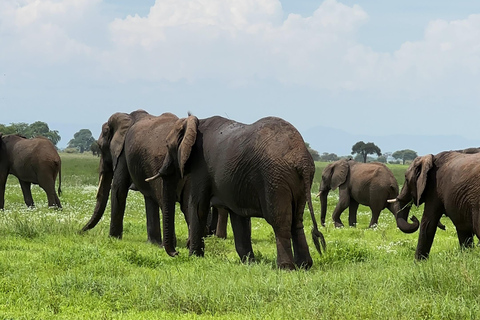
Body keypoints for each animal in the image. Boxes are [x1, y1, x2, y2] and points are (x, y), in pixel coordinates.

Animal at [81, 109, 181, 245]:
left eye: (100, 147)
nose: (79, 231)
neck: (126, 117)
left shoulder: (123, 153)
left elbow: (118, 188)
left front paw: (112, 238)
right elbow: (149, 197)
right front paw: (153, 243)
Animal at [146, 115, 326, 270]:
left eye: (167, 146)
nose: (176, 253)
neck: (195, 122)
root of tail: (302, 160)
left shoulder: (201, 166)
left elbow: (198, 207)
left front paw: (194, 258)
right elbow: (239, 217)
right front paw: (249, 263)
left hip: (275, 178)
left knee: (280, 221)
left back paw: (286, 268)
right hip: (298, 182)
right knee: (297, 221)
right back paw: (304, 266)